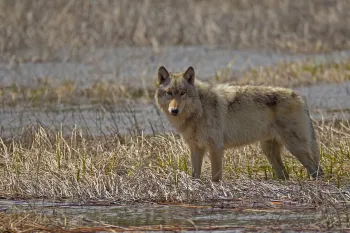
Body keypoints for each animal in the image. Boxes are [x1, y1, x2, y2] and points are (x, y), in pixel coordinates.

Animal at [154, 65, 324, 182]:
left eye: (183, 93)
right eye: (169, 93)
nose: (174, 110)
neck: (199, 109)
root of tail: (300, 97)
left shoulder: (216, 148)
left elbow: (215, 178)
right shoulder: (196, 149)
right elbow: (195, 176)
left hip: (296, 148)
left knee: (317, 170)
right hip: (269, 150)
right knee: (286, 174)